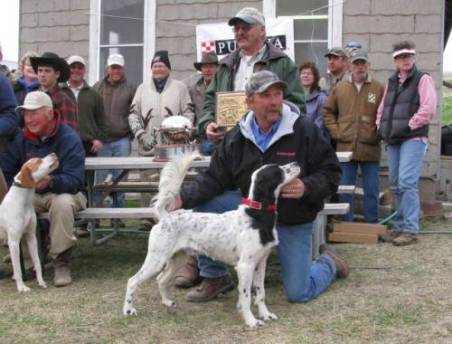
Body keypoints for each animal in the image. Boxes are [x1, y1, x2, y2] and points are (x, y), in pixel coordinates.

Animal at [0, 153, 59, 290]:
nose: (53, 153)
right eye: (38, 161)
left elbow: (37, 262)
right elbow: (17, 269)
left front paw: (41, 282)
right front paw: (21, 287)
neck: (23, 202)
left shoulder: (31, 237)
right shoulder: (13, 242)